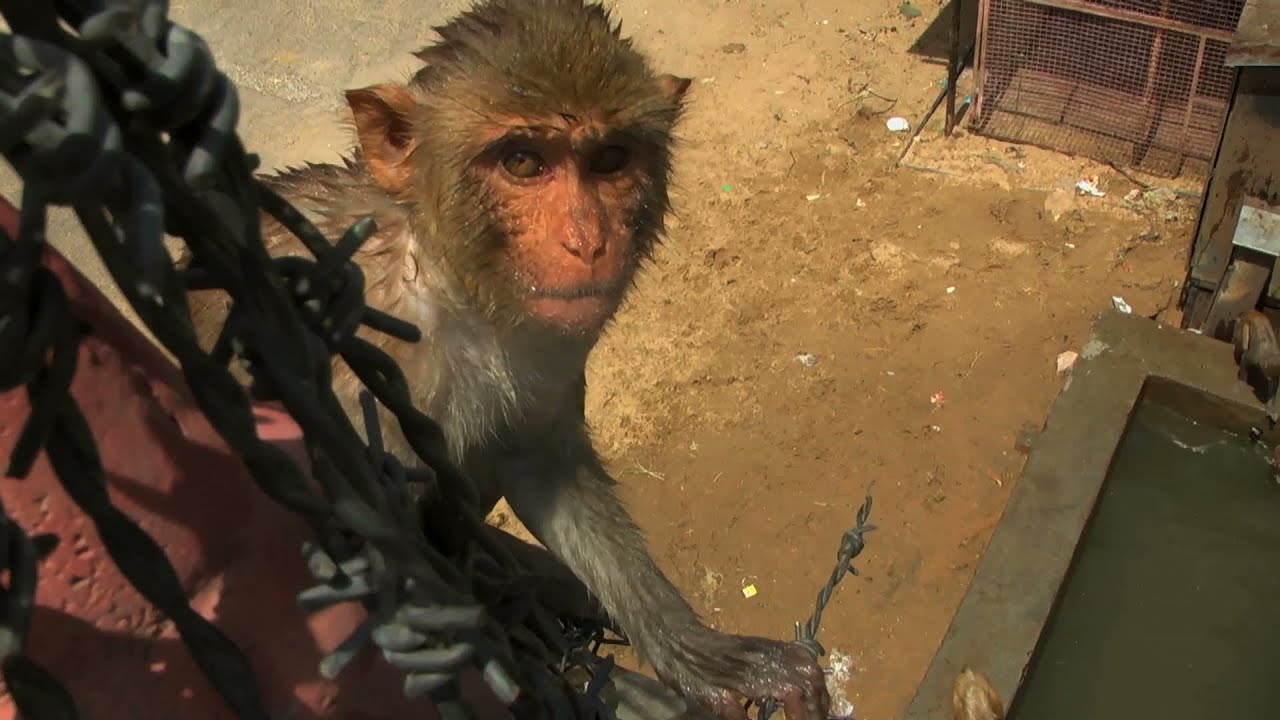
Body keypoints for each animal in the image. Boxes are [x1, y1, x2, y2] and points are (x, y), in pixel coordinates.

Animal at [183, 0, 830, 717]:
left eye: (609, 159)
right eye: (523, 162)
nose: (587, 241)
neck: (448, 283)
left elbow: (539, 461)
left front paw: (694, 652)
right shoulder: (346, 386)